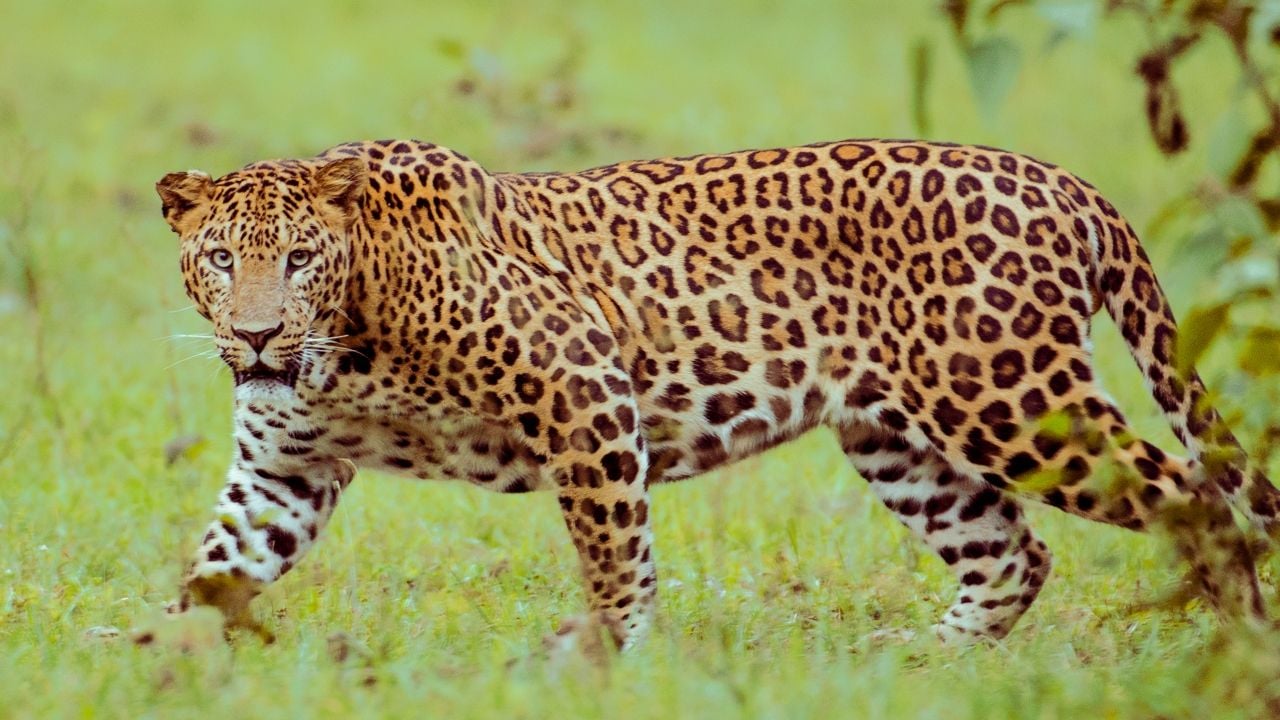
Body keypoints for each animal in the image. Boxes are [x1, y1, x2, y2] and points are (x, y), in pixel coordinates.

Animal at [155, 138, 1280, 650]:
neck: (342, 347)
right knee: (1014, 554)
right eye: (221, 258)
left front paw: (603, 658)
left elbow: (613, 551)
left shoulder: (582, 383)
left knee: (1199, 502)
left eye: (300, 259)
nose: (256, 334)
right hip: (898, 438)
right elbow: (216, 567)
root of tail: (1064, 182)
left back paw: (1230, 653)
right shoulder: (283, 469)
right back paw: (926, 663)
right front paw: (153, 660)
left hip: (1009, 401)